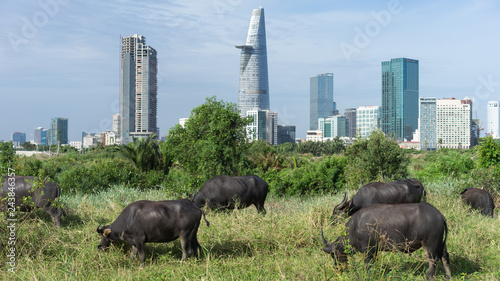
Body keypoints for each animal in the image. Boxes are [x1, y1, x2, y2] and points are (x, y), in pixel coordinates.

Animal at [322, 202, 452, 278]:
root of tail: (439, 215)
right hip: (440, 243)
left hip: (430, 244)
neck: (356, 227)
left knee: (433, 260)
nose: (337, 269)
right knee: (444, 256)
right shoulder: (374, 251)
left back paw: (428, 276)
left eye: (333, 254)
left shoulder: (368, 250)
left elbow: (367, 265)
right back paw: (448, 276)